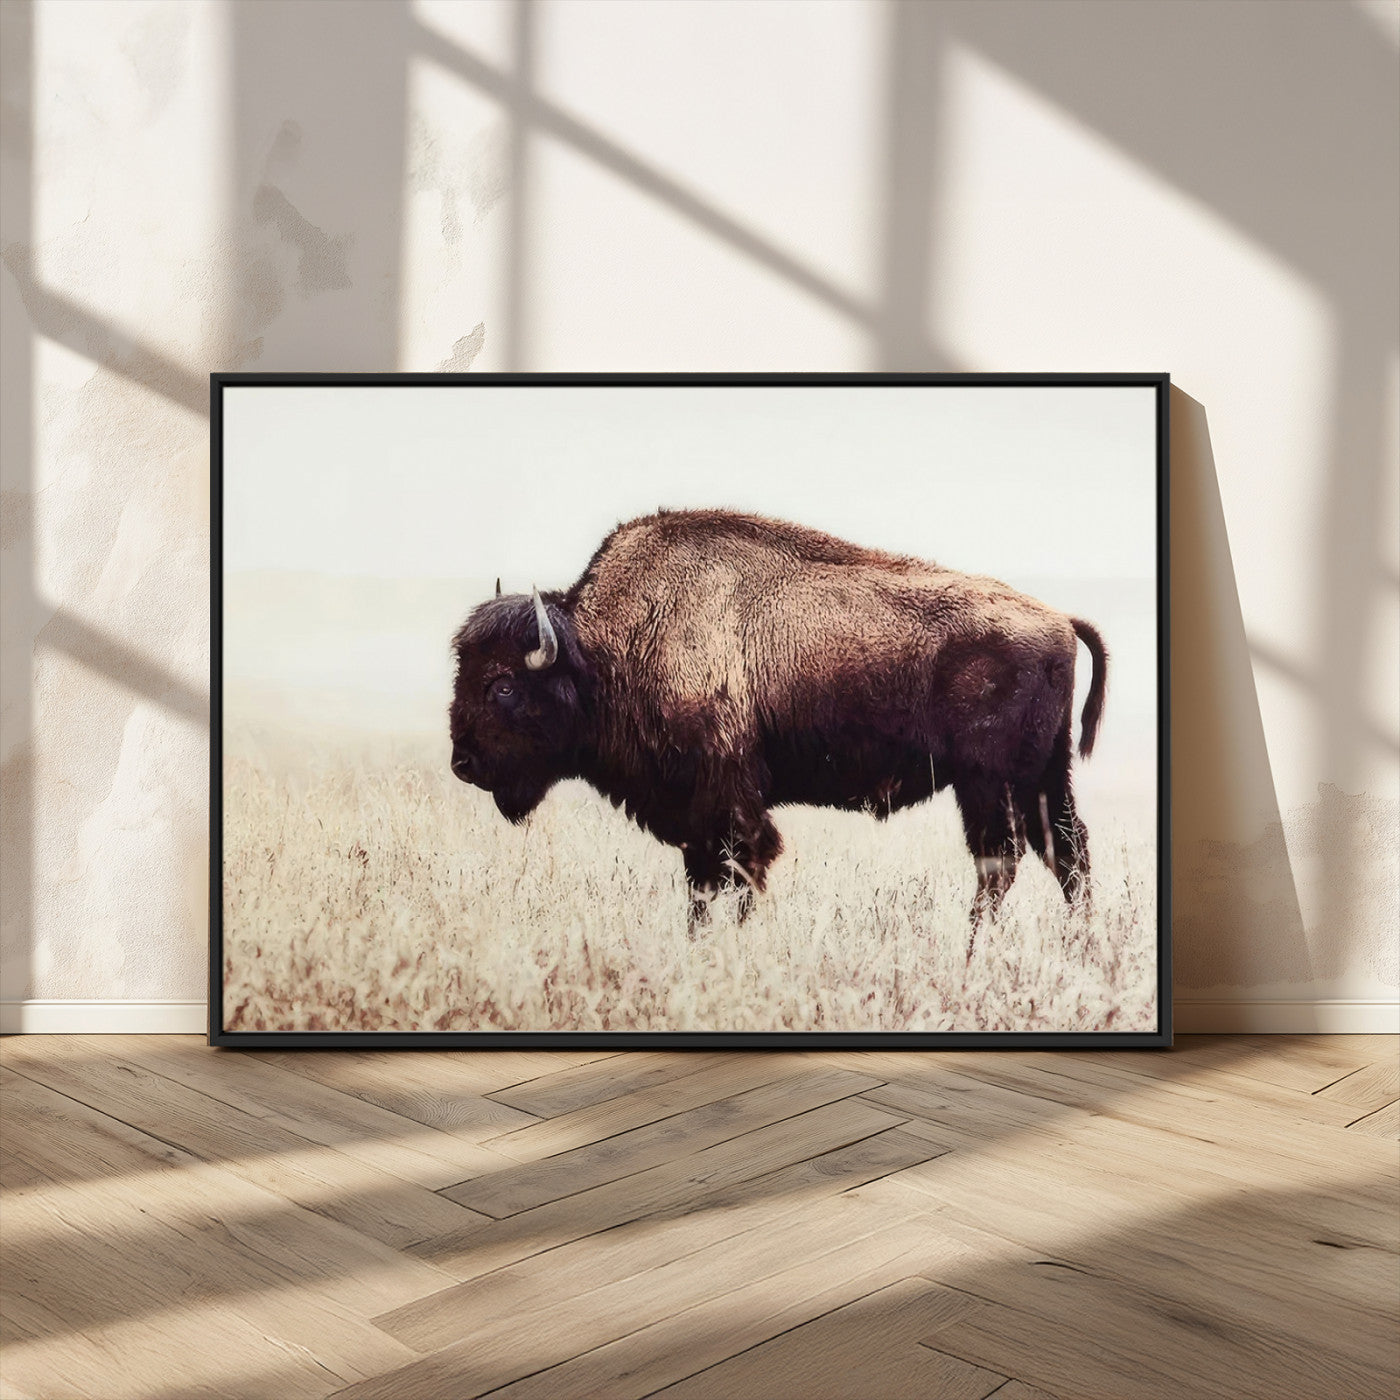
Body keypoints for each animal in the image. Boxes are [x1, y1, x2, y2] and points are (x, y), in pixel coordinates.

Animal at [450, 509, 1107, 939]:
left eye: (502, 685)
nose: (463, 764)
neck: (606, 650)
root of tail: (1059, 618)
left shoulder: (729, 799)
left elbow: (743, 868)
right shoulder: (697, 816)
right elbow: (702, 882)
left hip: (988, 783)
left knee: (1002, 860)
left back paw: (973, 949)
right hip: (1043, 778)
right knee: (1065, 853)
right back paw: (1077, 947)